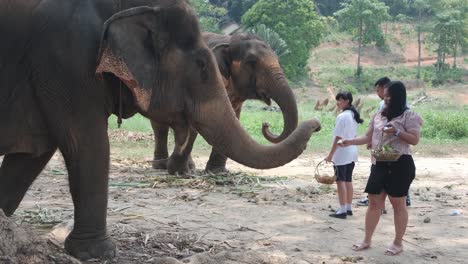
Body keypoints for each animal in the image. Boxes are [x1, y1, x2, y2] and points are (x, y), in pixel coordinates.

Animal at [153, 32, 300, 173]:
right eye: (251, 62)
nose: (265, 124)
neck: (230, 41)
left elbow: (231, 119)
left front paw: (218, 171)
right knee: (160, 126)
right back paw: (161, 166)